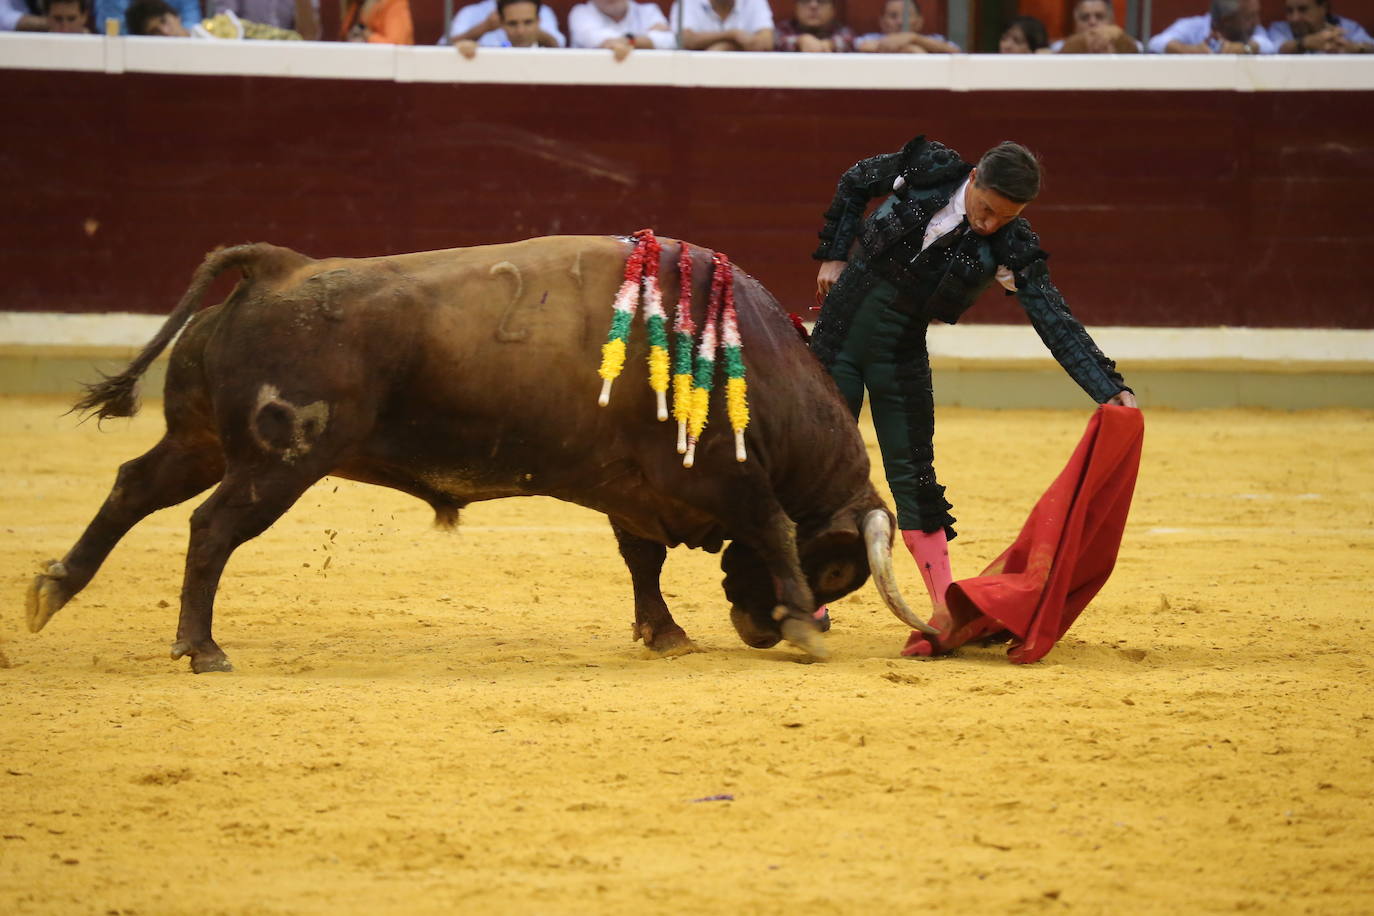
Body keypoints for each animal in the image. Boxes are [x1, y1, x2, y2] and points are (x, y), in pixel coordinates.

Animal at [24, 236, 934, 672]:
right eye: (837, 569)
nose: (758, 628)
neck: (756, 364)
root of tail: (278, 270)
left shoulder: (632, 490)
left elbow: (641, 561)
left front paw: (666, 633)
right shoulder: (722, 476)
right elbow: (773, 527)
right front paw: (806, 633)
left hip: (202, 443)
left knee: (133, 488)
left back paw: (53, 589)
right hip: (276, 465)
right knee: (210, 531)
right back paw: (202, 649)